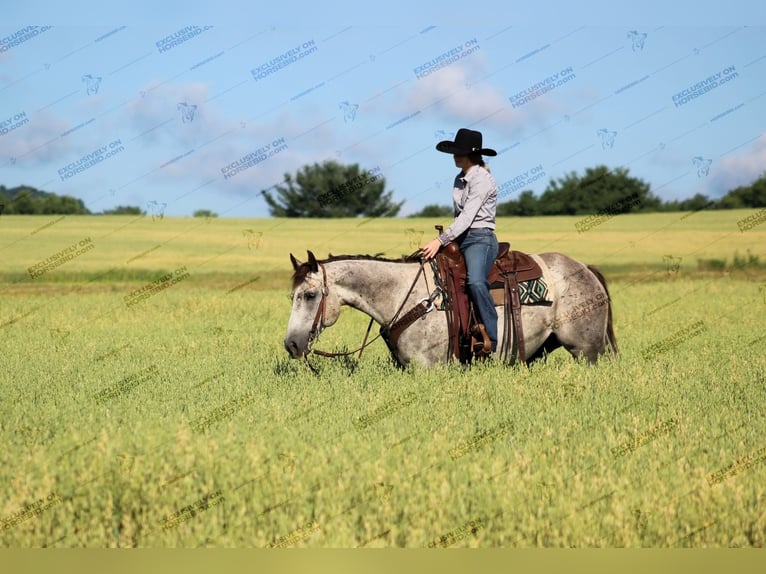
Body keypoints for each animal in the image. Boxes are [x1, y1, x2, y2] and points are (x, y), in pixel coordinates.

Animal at [284, 252, 620, 368]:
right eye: (292, 296)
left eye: (310, 295)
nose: (291, 345)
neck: (405, 297)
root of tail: (586, 268)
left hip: (587, 351)